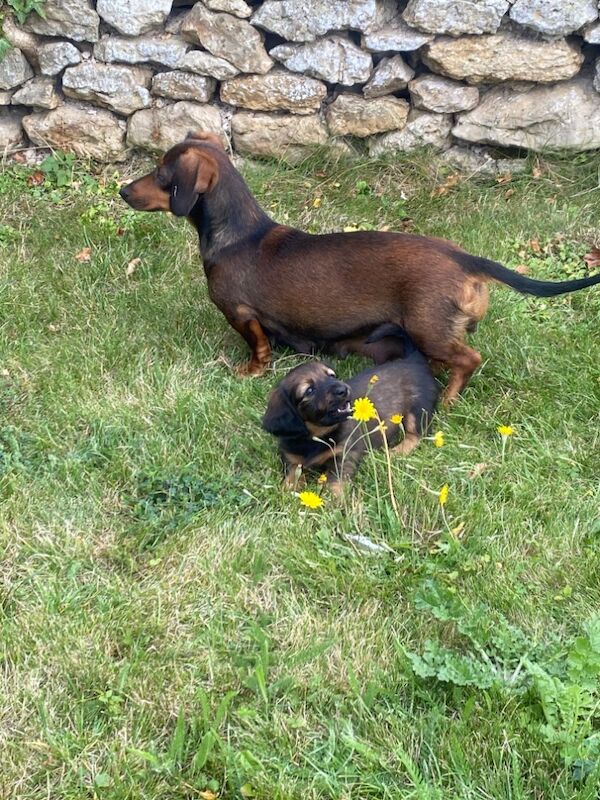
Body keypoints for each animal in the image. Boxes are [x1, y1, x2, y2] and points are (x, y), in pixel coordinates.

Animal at [262, 342, 436, 496]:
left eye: (332, 376)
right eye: (309, 390)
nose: (343, 389)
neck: (317, 436)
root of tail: (413, 360)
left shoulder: (345, 454)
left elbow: (336, 480)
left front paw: (335, 501)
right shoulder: (291, 458)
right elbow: (292, 475)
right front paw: (287, 490)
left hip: (418, 409)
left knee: (416, 435)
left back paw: (396, 451)